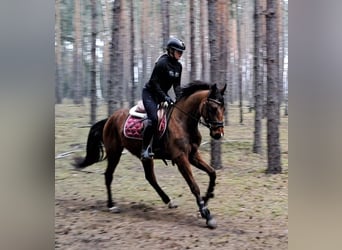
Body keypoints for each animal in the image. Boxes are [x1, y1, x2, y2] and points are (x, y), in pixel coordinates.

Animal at [73, 80, 226, 229]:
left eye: (223, 108)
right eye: (213, 108)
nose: (218, 134)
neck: (182, 121)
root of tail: (110, 119)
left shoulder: (192, 155)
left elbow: (212, 173)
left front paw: (207, 199)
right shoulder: (180, 158)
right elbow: (194, 186)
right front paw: (207, 214)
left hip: (144, 157)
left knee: (150, 177)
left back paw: (168, 200)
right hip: (114, 152)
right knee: (109, 175)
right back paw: (111, 206)